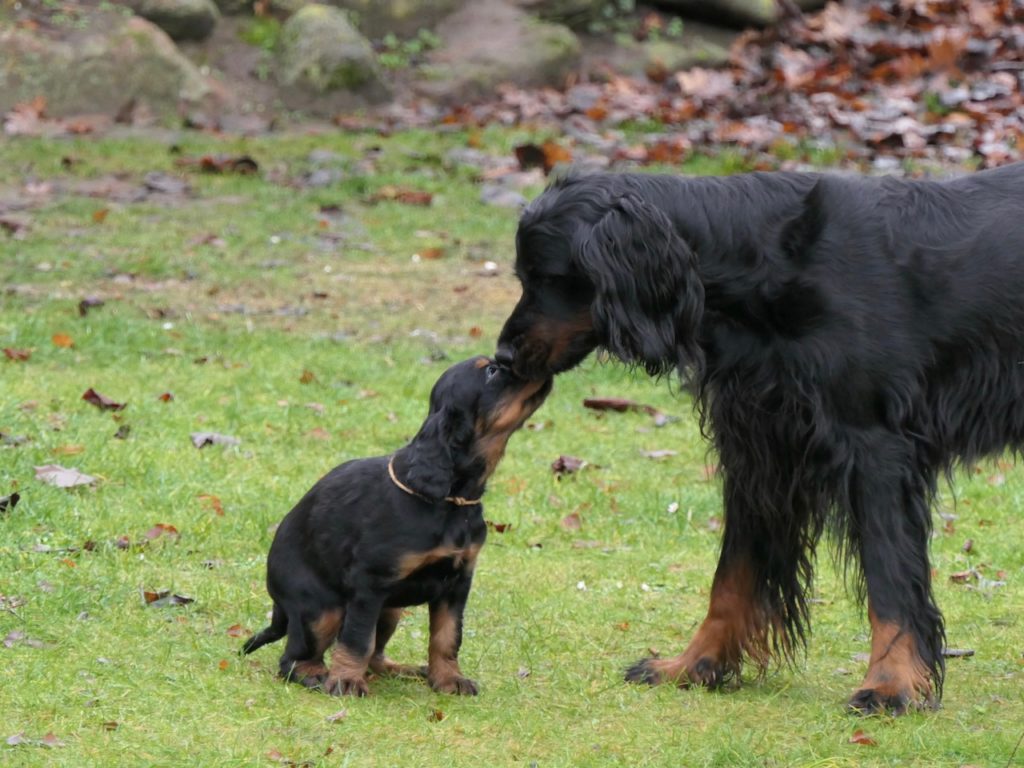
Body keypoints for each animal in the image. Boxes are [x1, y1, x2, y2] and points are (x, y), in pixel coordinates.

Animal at [242, 358, 552, 700]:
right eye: (491, 371)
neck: (450, 500)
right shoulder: (369, 583)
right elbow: (357, 639)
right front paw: (346, 681)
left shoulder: (458, 582)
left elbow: (446, 636)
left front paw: (448, 679)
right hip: (322, 609)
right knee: (292, 659)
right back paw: (315, 674)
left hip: (390, 610)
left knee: (376, 655)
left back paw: (404, 669)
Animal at [493, 162, 1024, 716]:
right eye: (524, 277)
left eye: (550, 278)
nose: (503, 356)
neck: (767, 265)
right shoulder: (760, 446)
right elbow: (732, 576)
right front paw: (693, 665)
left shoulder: (875, 448)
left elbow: (889, 580)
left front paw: (891, 683)